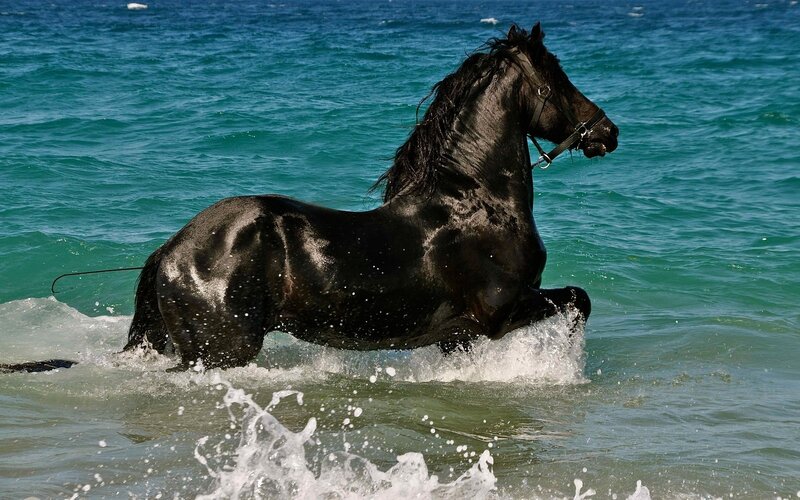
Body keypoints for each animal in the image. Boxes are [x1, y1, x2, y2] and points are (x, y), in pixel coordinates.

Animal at [3, 23, 617, 374]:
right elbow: (579, 301)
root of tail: (169, 252)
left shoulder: (460, 336)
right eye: (557, 79)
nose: (606, 132)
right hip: (222, 351)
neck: (472, 204)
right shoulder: (501, 311)